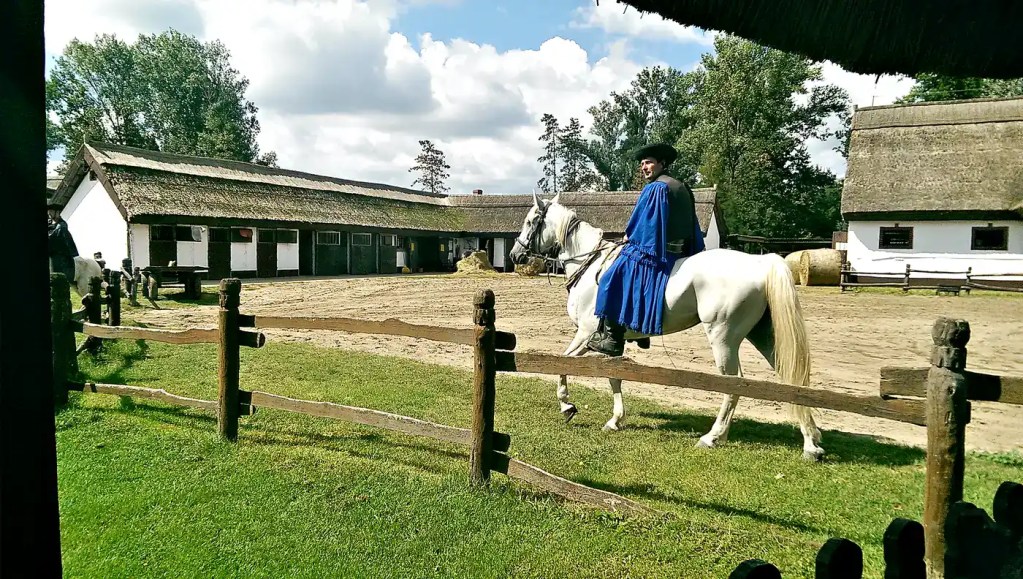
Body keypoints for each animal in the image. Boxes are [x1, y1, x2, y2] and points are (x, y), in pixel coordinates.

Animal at [508, 191, 825, 461]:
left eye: (530, 221)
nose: (514, 256)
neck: (590, 264)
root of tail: (761, 264)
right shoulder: (610, 343)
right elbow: (614, 378)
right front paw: (615, 420)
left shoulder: (586, 334)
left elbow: (562, 364)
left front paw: (567, 406)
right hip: (765, 336)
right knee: (793, 380)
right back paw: (811, 444)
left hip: (723, 338)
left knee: (734, 384)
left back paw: (713, 437)